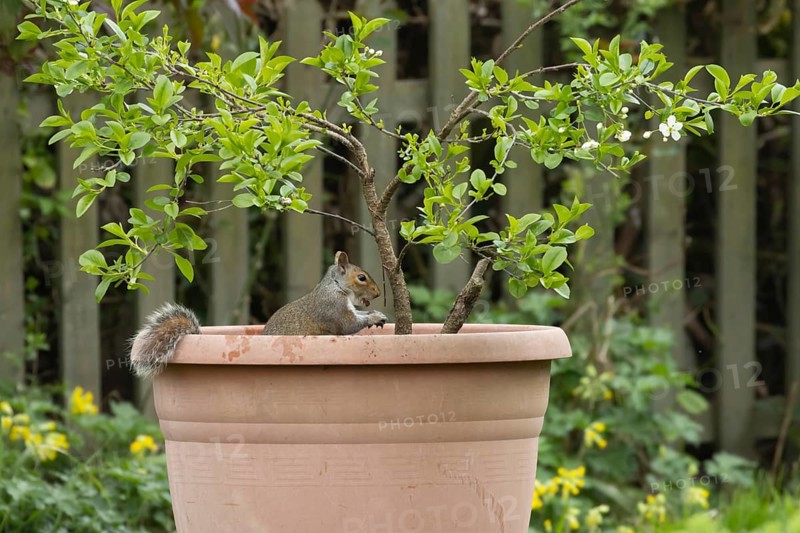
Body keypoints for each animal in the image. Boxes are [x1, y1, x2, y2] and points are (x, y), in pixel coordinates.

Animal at [129, 251, 387, 378]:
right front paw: (374, 317)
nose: (377, 293)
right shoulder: (333, 309)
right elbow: (348, 326)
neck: (335, 287)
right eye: (361, 277)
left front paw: (375, 313)